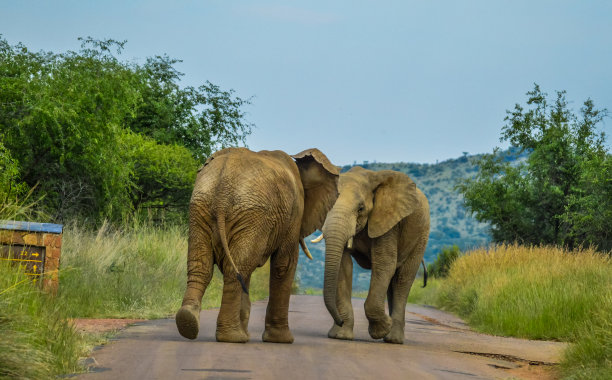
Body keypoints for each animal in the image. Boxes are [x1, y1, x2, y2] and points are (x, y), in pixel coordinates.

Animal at [176, 148, 340, 344]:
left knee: (204, 266)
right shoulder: (294, 213)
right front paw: (282, 340)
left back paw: (189, 322)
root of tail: (223, 190)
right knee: (237, 269)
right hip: (252, 215)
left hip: (202, 209)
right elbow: (283, 265)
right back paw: (233, 337)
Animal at [320, 166, 430, 344]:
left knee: (402, 279)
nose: (340, 321)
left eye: (360, 208)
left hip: (421, 235)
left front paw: (381, 330)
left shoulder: (389, 222)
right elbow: (343, 267)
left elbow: (384, 264)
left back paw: (393, 339)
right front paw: (340, 336)